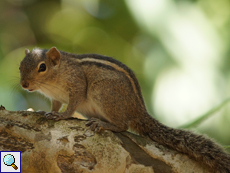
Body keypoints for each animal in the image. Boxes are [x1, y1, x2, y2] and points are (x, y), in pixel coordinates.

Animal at [19, 46, 230, 172]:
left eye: (42, 67)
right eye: (20, 66)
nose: (24, 84)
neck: (57, 75)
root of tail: (139, 111)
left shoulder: (78, 84)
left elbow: (71, 105)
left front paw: (62, 116)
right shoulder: (55, 97)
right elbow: (54, 105)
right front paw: (42, 112)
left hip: (103, 93)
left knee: (123, 125)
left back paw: (104, 124)